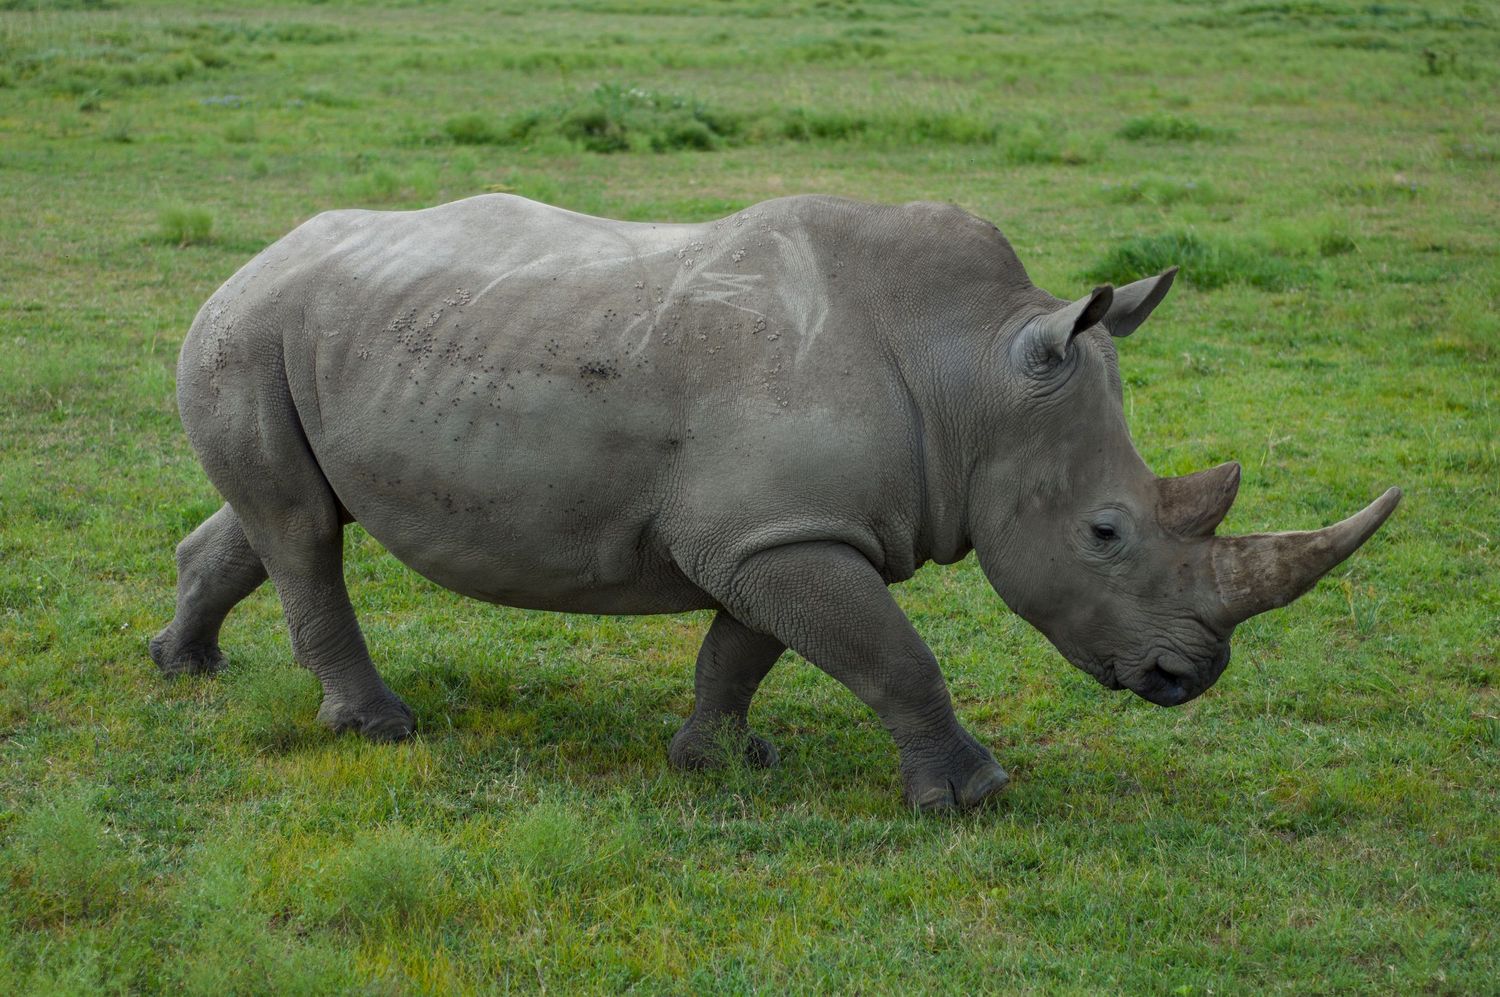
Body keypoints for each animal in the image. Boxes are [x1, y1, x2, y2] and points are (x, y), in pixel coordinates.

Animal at [151, 194, 1400, 812]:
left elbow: (743, 649)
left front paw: (717, 762)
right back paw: (379, 729)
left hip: (311, 330)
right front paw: (971, 797)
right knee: (303, 531)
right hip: (254, 325)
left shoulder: (777, 530)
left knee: (286, 519)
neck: (970, 369)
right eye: (1105, 532)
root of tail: (252, 256)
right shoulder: (778, 532)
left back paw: (183, 666)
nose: (1190, 678)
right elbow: (893, 657)